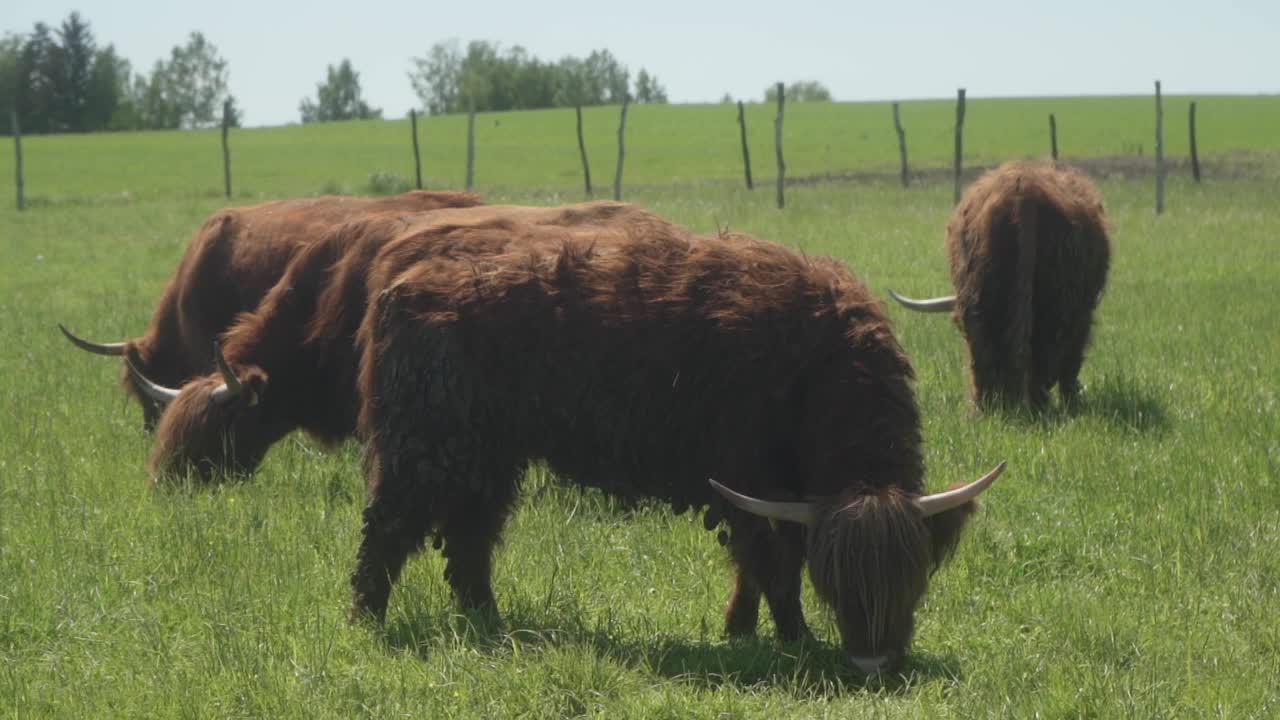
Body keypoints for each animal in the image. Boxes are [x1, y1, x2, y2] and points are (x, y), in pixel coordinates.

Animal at [353, 204, 1008, 671]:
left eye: (913, 576)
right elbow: (772, 563)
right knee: (389, 528)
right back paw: (367, 621)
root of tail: (400, 283)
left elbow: (761, 564)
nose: (873, 662)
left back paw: (489, 621)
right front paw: (795, 638)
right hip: (425, 446)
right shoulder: (748, 478)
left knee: (470, 537)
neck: (817, 368)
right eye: (837, 582)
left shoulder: (774, 492)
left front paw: (740, 629)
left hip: (489, 456)